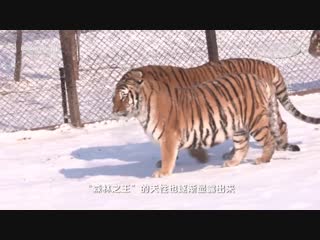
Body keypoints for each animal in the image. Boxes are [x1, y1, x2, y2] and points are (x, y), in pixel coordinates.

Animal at [112, 58, 320, 168]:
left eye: (122, 96)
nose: (114, 110)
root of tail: (270, 65)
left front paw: (198, 158)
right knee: (278, 126)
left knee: (277, 127)